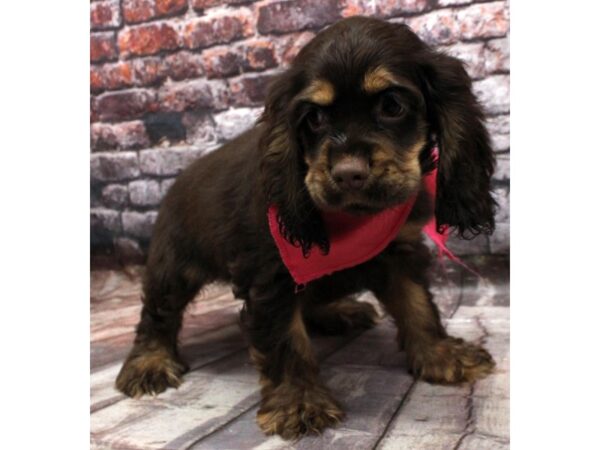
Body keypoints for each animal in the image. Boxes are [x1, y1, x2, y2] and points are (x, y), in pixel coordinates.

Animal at [115, 16, 494, 440]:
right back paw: (149, 361)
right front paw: (298, 401)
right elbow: (285, 340)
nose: (348, 174)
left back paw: (337, 311)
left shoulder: (399, 252)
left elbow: (417, 305)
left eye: (392, 106)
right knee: (157, 315)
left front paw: (441, 353)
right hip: (173, 268)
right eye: (314, 118)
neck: (354, 221)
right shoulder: (272, 276)